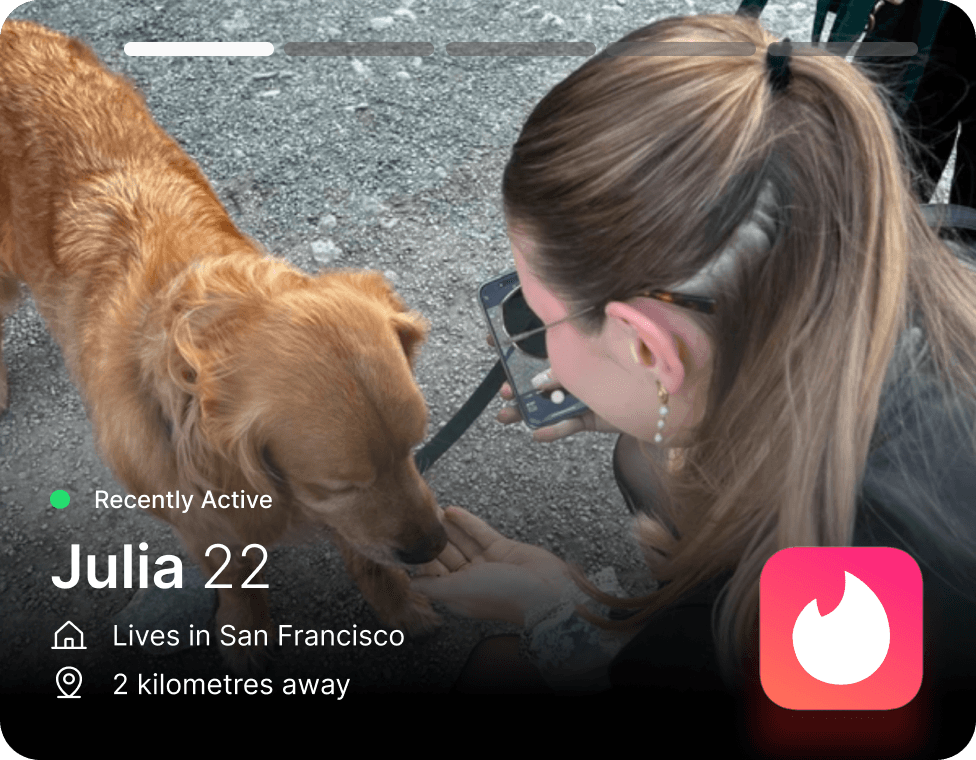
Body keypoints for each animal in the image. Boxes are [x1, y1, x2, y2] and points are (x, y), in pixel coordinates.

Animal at [0, 19, 447, 674]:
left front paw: (401, 606)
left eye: (415, 448)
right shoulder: (200, 511)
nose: (432, 545)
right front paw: (247, 636)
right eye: (340, 483)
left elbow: (366, 553)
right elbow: (238, 575)